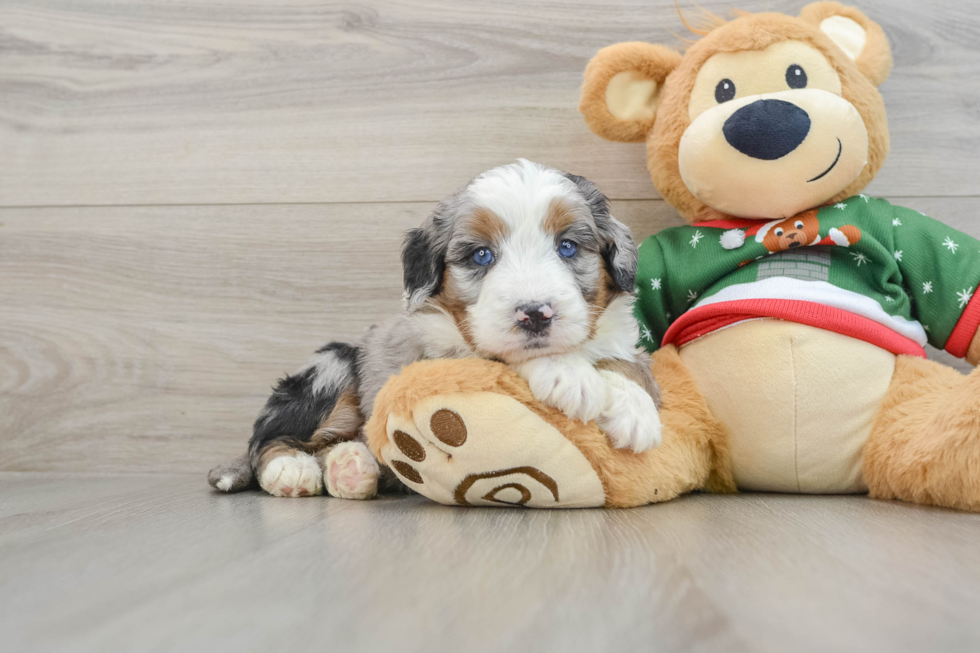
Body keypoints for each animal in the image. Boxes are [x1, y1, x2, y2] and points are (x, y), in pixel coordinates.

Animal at [210, 160, 664, 496]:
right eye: (481, 255)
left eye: (567, 246)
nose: (535, 313)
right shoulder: (443, 354)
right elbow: (501, 358)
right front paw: (569, 375)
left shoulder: (624, 340)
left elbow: (629, 363)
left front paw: (634, 408)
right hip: (333, 365)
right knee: (267, 439)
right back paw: (293, 469)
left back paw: (351, 468)